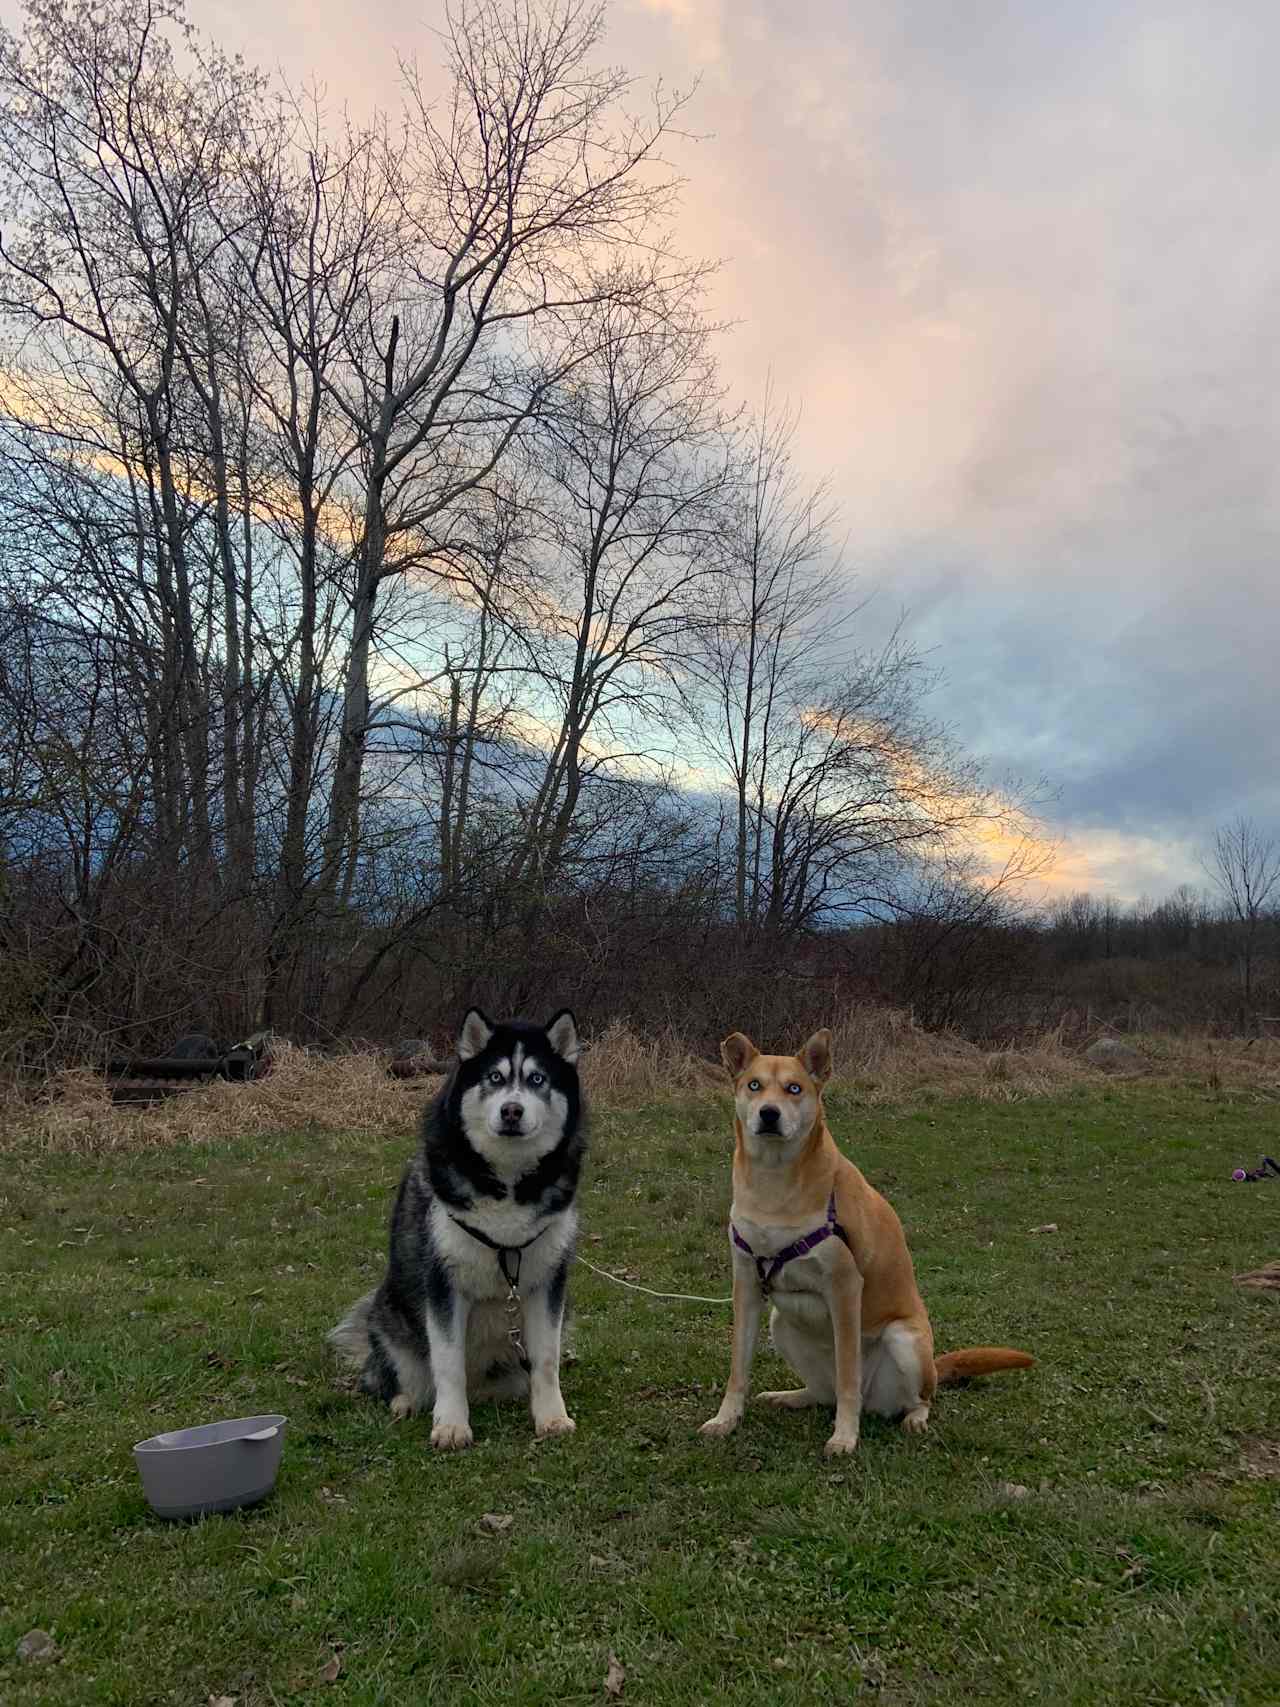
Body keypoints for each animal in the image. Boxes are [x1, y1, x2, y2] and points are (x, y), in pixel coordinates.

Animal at [703, 1024, 1030, 1454]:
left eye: (794, 1088)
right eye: (754, 1085)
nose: (768, 1113)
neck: (774, 1184)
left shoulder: (844, 1287)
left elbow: (848, 1378)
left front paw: (845, 1436)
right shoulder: (746, 1284)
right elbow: (738, 1369)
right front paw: (726, 1419)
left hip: (904, 1340)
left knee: (915, 1397)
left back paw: (913, 1417)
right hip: (780, 1322)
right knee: (822, 1391)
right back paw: (791, 1396)